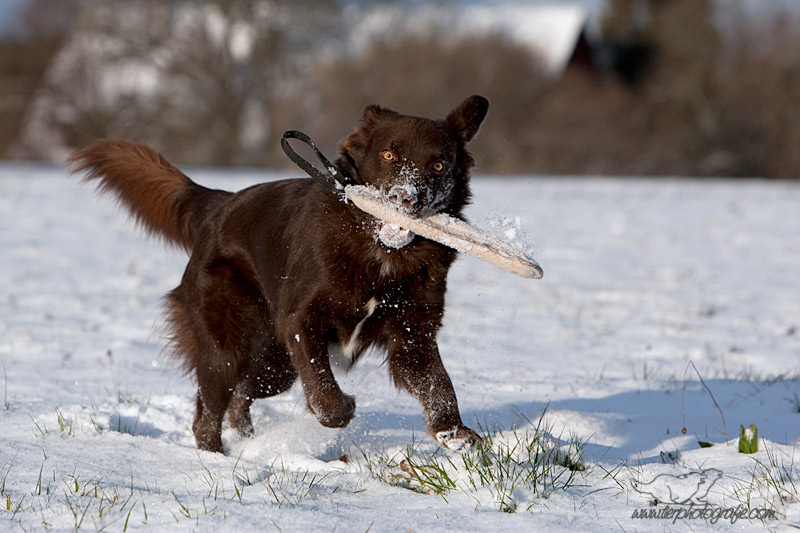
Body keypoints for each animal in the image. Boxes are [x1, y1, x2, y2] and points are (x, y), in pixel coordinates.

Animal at [70, 95, 488, 454]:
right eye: (388, 154)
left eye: (438, 165)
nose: (405, 199)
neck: (379, 252)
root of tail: (218, 205)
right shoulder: (299, 320)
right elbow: (323, 390)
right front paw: (342, 408)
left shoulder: (412, 332)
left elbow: (437, 384)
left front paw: (453, 432)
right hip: (229, 343)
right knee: (209, 410)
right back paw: (215, 458)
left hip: (274, 364)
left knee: (241, 395)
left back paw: (246, 439)